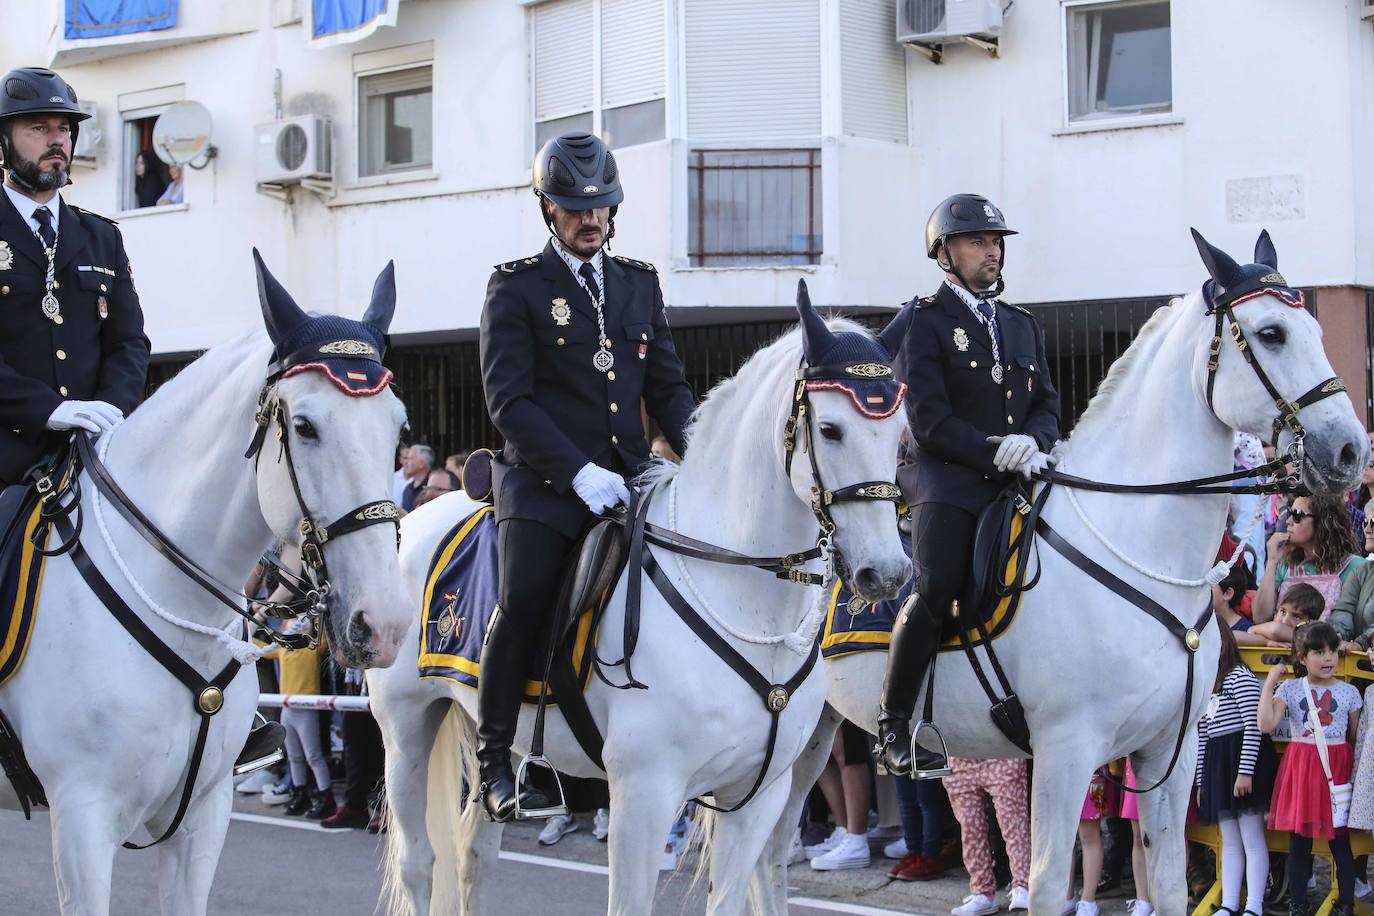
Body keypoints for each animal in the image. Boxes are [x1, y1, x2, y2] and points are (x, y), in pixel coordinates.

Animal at [370, 295, 917, 916]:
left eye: (900, 435)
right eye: (830, 429)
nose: (887, 573)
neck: (749, 601)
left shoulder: (758, 795)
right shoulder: (645, 792)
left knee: (474, 851)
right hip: (404, 726)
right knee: (419, 862)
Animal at [758, 230, 1368, 916]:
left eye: (1316, 328)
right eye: (1271, 333)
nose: (1350, 450)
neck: (1143, 550)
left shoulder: (1171, 751)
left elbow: (1168, 881)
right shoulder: (1066, 751)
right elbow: (1049, 884)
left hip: (810, 736)